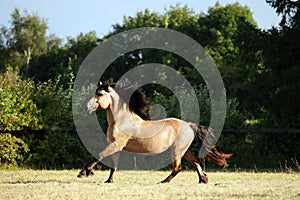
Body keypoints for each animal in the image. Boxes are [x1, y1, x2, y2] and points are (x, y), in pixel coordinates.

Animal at [77, 81, 232, 183]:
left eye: (99, 93)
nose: (85, 108)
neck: (122, 120)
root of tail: (188, 125)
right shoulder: (116, 146)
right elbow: (113, 165)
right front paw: (109, 180)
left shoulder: (116, 145)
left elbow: (99, 155)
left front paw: (84, 173)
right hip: (184, 150)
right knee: (195, 162)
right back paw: (203, 179)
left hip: (177, 151)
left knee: (178, 168)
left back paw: (164, 182)